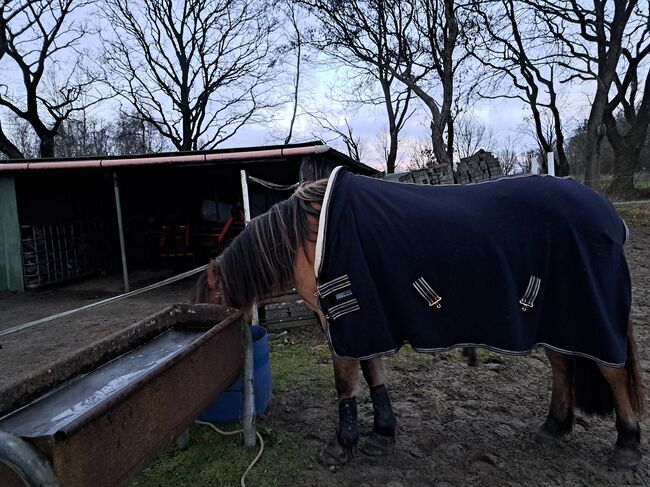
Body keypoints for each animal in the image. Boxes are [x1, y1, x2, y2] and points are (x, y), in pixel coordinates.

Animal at [192, 168, 644, 468]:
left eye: (210, 296)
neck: (310, 235)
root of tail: (607, 213)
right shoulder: (366, 317)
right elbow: (372, 372)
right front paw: (381, 434)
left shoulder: (344, 314)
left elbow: (345, 381)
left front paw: (342, 444)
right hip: (558, 319)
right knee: (563, 365)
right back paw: (554, 427)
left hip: (590, 316)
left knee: (613, 371)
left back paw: (626, 444)